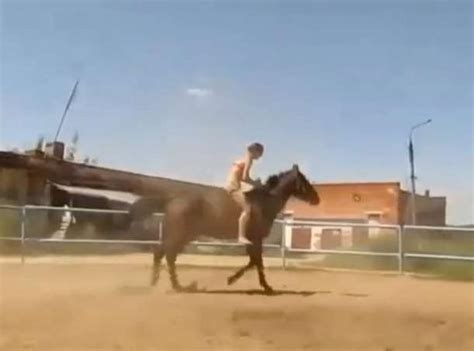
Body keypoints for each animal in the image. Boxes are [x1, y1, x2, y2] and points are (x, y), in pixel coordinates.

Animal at [130, 165, 318, 294]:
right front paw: (260, 285)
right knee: (165, 255)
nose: (317, 199)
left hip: (184, 235)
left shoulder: (253, 240)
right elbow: (256, 262)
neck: (264, 203)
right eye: (304, 181)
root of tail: (172, 200)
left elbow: (254, 262)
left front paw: (244, 281)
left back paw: (167, 284)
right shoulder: (255, 238)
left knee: (165, 254)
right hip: (180, 234)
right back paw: (175, 286)